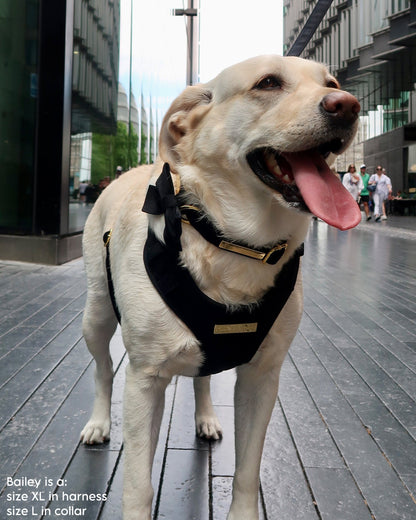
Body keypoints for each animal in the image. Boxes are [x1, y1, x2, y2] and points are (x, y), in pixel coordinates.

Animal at [81, 54, 360, 516]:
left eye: (332, 83)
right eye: (268, 83)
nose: (348, 105)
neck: (234, 244)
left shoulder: (262, 378)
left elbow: (247, 471)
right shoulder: (143, 380)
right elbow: (138, 484)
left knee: (204, 377)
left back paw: (207, 417)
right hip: (97, 317)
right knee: (103, 371)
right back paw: (99, 421)